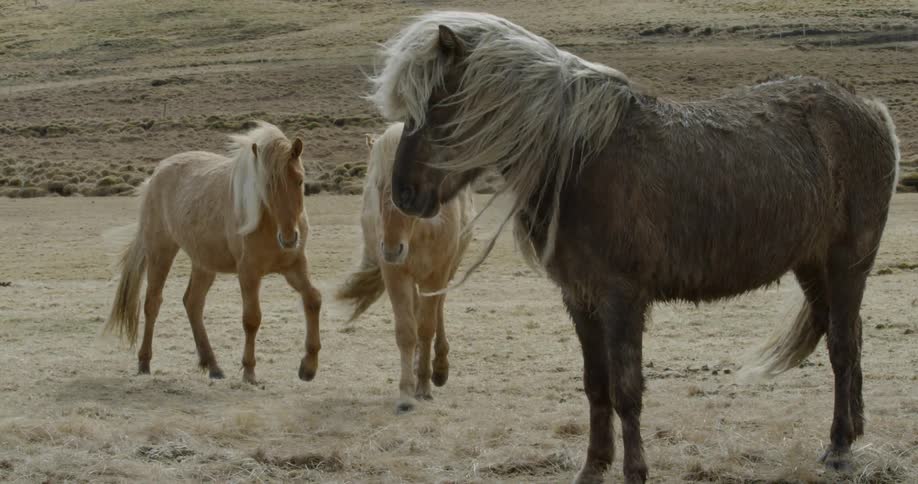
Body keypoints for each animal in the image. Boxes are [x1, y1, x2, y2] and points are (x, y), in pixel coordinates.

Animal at [106, 121, 322, 385]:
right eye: (267, 186)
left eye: (300, 181)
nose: (289, 238)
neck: (269, 223)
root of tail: (156, 175)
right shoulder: (248, 273)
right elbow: (251, 318)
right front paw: (249, 371)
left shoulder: (294, 266)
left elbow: (313, 299)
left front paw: (309, 366)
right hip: (160, 251)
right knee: (152, 303)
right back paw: (145, 362)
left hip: (203, 263)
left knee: (193, 303)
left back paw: (213, 365)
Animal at [336, 122, 474, 413]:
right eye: (377, 185)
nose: (390, 248)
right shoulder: (396, 275)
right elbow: (407, 331)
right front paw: (407, 392)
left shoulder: (436, 275)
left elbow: (427, 328)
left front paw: (424, 385)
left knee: (437, 312)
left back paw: (439, 368)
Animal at [368, 11, 900, 483]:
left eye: (438, 105)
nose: (405, 194)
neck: (578, 161)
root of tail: (869, 108)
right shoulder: (580, 299)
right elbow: (596, 386)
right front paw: (593, 467)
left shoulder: (621, 299)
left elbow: (626, 389)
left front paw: (635, 471)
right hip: (812, 267)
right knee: (847, 339)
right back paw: (853, 432)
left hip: (848, 264)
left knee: (842, 347)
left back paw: (839, 447)